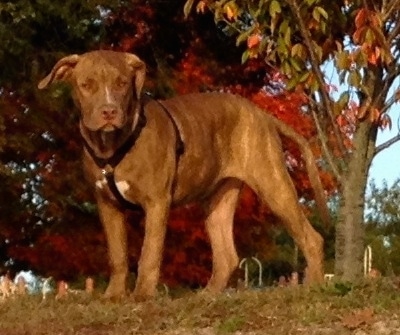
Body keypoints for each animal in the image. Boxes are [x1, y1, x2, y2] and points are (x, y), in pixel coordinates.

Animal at [39, 50, 330, 302]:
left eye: (121, 83)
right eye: (86, 85)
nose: (108, 111)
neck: (111, 145)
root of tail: (262, 115)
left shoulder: (157, 202)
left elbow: (149, 253)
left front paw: (142, 296)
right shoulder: (107, 205)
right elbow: (117, 254)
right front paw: (113, 296)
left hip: (273, 184)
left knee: (311, 237)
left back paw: (313, 287)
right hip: (218, 201)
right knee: (226, 255)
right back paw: (207, 296)